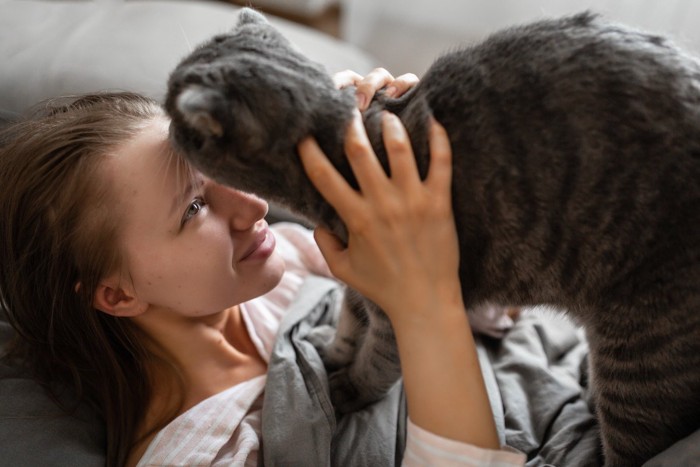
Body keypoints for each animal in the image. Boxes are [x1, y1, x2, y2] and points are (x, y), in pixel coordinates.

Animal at [165, 8, 700, 467]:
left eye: (172, 104)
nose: (165, 119)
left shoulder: (392, 312)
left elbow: (374, 364)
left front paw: (341, 391)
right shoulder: (359, 287)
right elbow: (347, 326)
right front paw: (328, 353)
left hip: (638, 361)